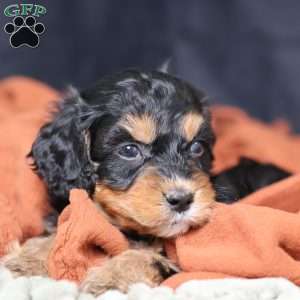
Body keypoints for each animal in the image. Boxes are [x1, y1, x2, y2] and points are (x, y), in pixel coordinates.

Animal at [1, 68, 288, 296]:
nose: (182, 200)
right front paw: (27, 260)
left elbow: (144, 257)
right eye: (129, 150)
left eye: (197, 147)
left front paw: (108, 278)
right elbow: (62, 229)